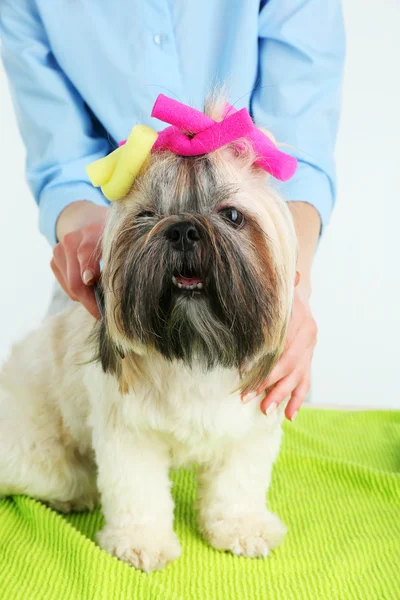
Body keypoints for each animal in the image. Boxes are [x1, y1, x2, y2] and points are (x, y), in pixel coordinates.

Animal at [0, 92, 296, 572]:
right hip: (36, 455)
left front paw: (241, 526)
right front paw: (141, 542)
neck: (194, 350)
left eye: (232, 215)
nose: (184, 229)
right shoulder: (127, 435)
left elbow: (237, 484)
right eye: (148, 216)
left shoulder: (250, 428)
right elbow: (137, 492)